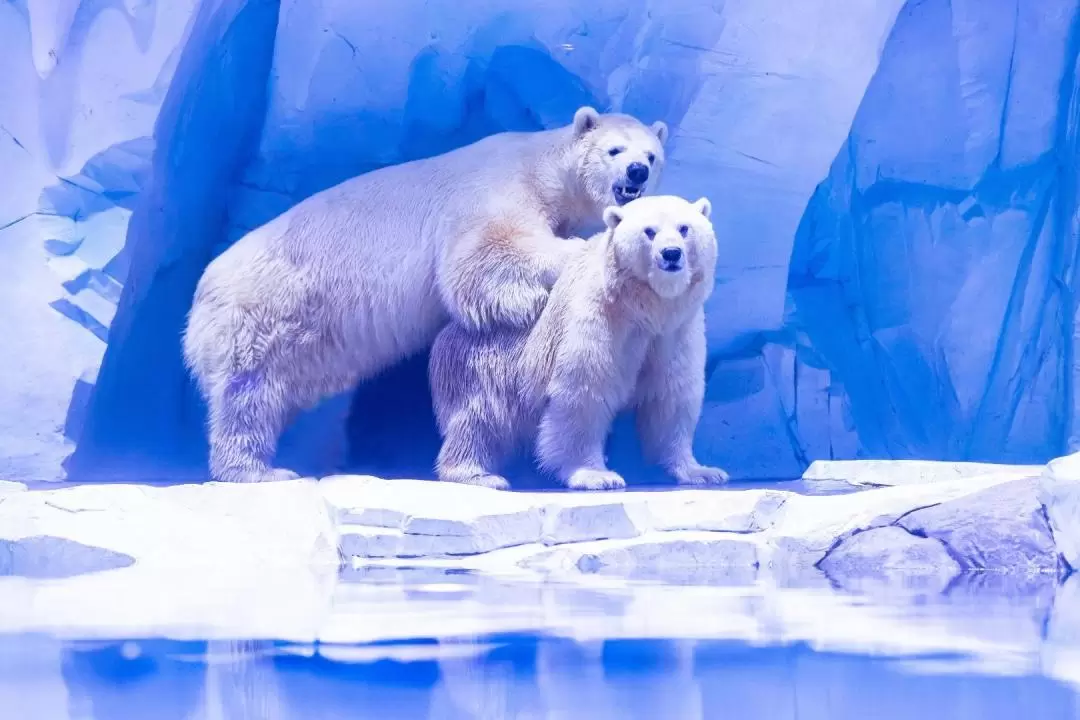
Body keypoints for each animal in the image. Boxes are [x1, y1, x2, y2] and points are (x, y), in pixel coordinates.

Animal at [181, 105, 665, 483]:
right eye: (614, 150)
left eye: (652, 155)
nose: (637, 171)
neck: (539, 166)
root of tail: (202, 292)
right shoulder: (494, 192)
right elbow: (484, 256)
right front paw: (581, 253)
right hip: (264, 311)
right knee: (249, 392)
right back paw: (258, 469)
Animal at [427, 194, 725, 492]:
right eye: (649, 231)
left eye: (684, 228)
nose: (671, 253)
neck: (642, 309)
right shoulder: (599, 318)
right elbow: (584, 392)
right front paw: (596, 475)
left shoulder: (676, 331)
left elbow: (671, 395)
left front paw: (702, 471)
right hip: (486, 367)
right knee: (481, 420)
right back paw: (479, 475)